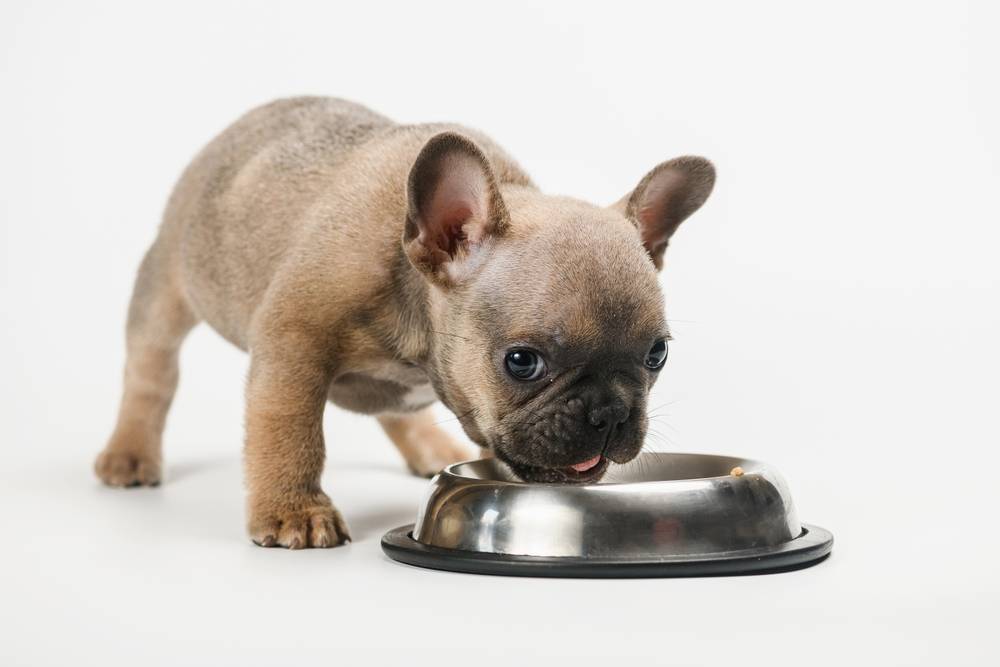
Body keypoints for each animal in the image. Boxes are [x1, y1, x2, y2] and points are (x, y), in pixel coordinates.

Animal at [95, 98, 712, 548]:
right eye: (522, 362)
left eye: (657, 355)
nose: (611, 412)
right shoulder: (292, 346)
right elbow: (290, 432)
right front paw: (293, 510)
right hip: (166, 288)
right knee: (150, 374)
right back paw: (130, 453)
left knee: (396, 411)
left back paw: (431, 447)